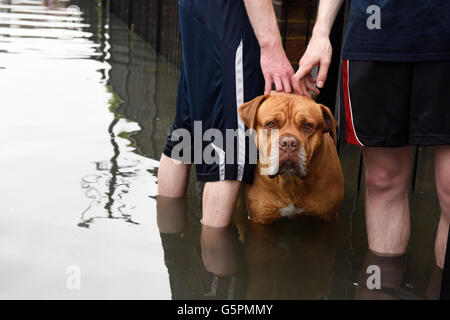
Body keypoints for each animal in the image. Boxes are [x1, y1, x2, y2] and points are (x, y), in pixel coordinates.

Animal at [237, 92, 342, 222]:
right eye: (271, 124)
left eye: (307, 125)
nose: (288, 143)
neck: (290, 181)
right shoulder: (260, 217)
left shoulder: (328, 215)